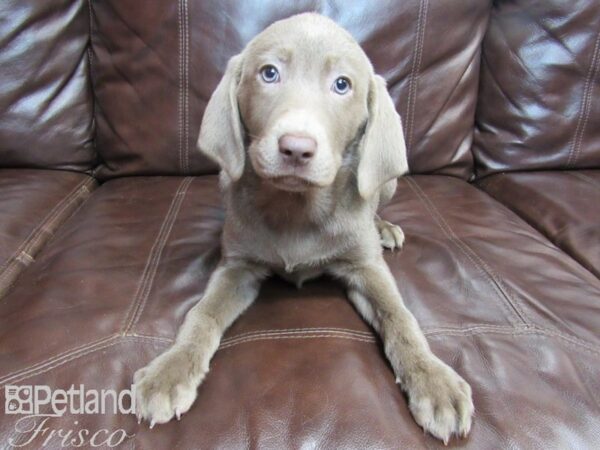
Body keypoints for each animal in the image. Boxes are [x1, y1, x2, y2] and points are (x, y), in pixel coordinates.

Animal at [135, 13, 474, 442]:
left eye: (342, 84)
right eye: (269, 73)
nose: (296, 148)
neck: (297, 208)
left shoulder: (366, 268)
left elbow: (401, 317)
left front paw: (433, 380)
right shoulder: (237, 267)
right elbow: (201, 314)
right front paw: (171, 369)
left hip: (386, 181)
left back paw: (384, 226)